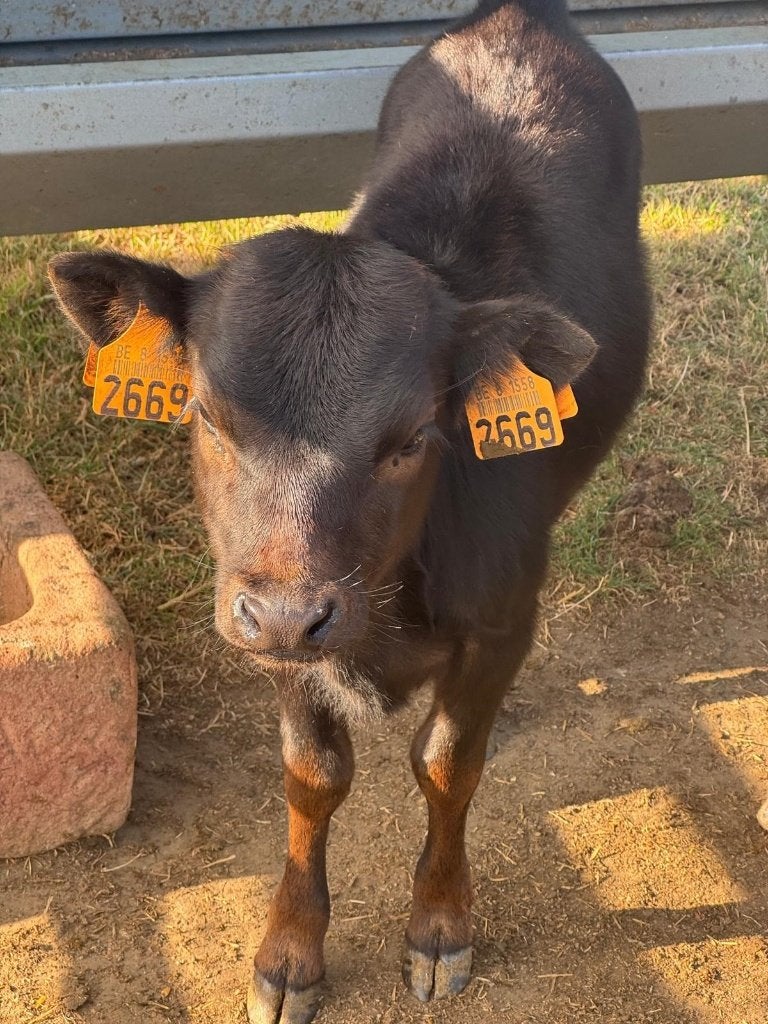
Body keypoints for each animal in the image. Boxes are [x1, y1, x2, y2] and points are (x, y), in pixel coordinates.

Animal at [48, 0, 651, 1020]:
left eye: (411, 436)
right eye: (208, 415)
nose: (296, 612)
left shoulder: (497, 618)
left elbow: (446, 761)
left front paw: (440, 925)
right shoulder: (267, 619)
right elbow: (313, 776)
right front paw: (289, 952)